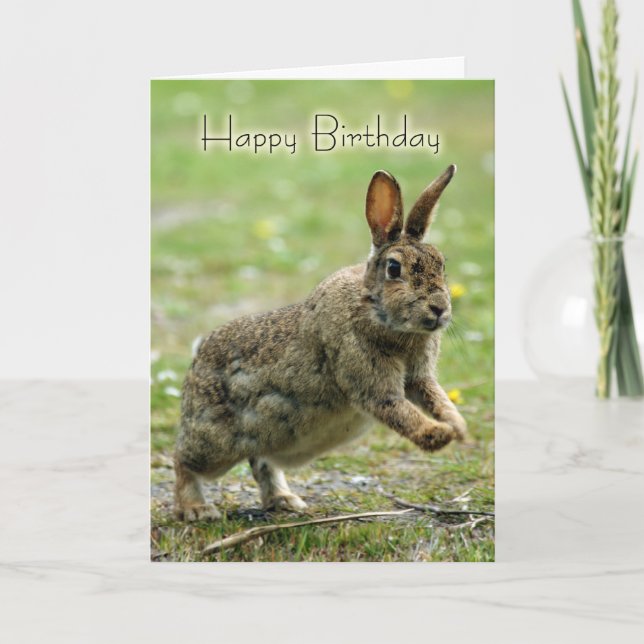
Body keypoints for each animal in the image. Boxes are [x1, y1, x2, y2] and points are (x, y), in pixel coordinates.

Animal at [174, 165, 467, 521]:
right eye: (394, 268)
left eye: (442, 263)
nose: (439, 309)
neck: (375, 311)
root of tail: (196, 360)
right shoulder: (369, 382)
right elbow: (397, 409)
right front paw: (439, 434)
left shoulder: (419, 378)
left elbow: (436, 397)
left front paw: (459, 428)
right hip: (215, 441)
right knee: (182, 461)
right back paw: (197, 509)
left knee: (261, 463)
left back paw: (285, 501)